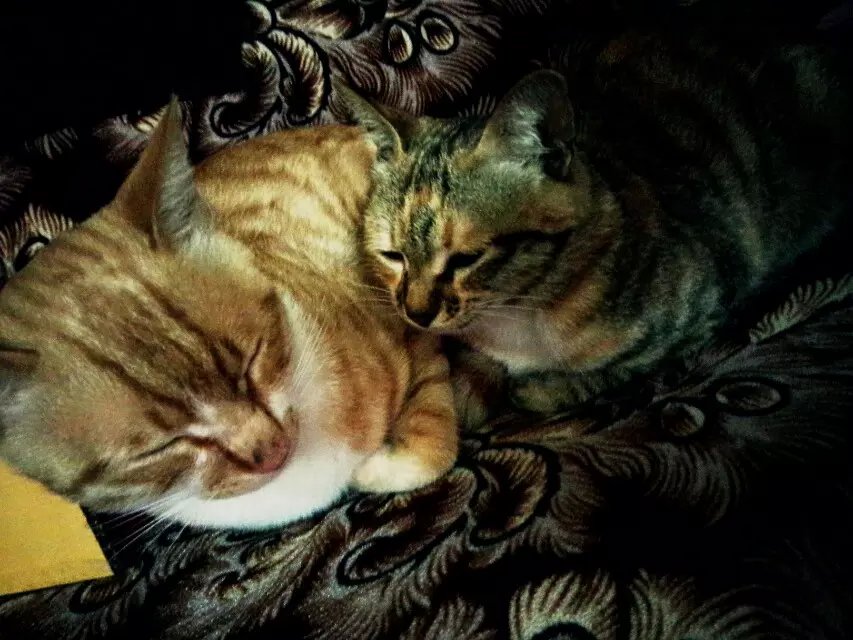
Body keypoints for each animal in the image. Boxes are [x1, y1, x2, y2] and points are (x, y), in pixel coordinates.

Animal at [0, 99, 458, 529]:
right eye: (159, 448)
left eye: (252, 360)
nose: (270, 451)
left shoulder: (413, 317)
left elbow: (434, 425)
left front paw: (384, 467)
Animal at [336, 31, 852, 421]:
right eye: (392, 255)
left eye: (467, 258)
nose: (415, 314)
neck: (519, 314)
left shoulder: (706, 308)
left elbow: (618, 369)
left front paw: (539, 387)